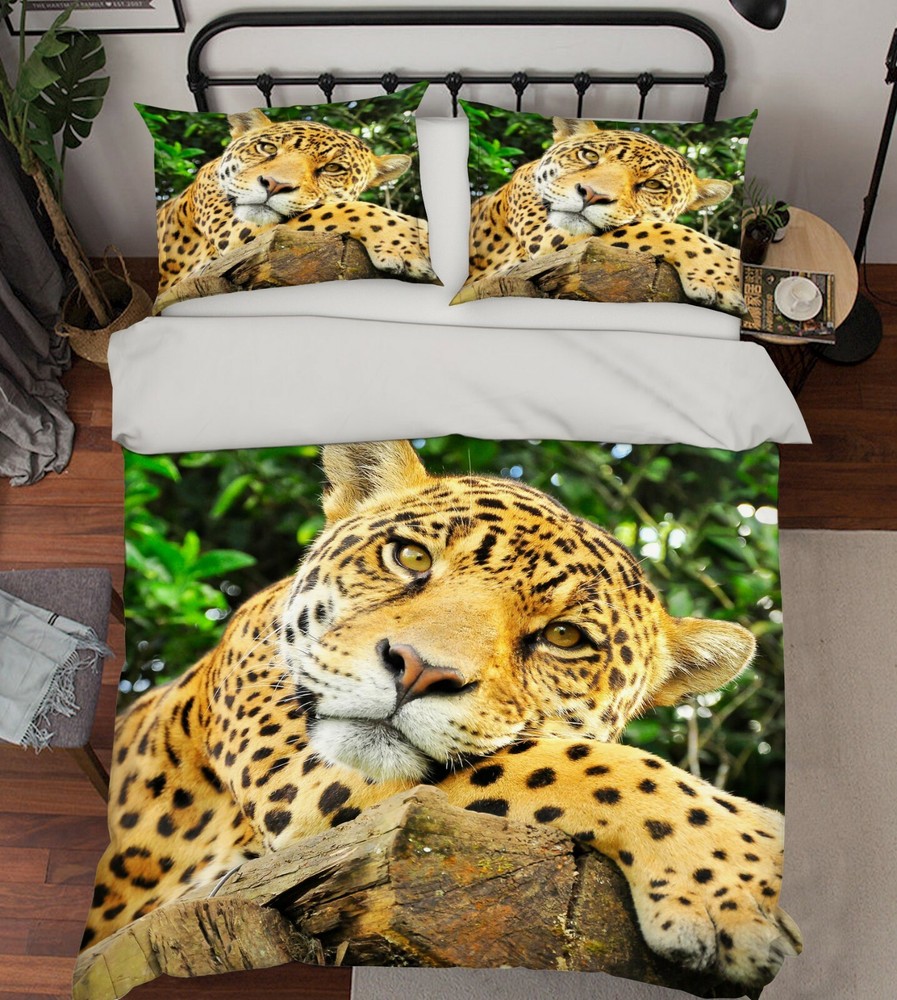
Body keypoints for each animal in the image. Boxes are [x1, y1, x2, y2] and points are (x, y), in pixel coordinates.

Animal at [84, 440, 800, 989]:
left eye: (564, 637)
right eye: (410, 557)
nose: (418, 670)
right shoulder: (301, 775)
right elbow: (572, 762)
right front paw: (745, 871)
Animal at [155, 108, 435, 298]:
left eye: (332, 168)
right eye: (267, 148)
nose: (274, 184)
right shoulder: (234, 230)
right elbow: (342, 210)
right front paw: (415, 242)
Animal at [460, 117, 746, 314]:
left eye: (652, 185)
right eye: (589, 155)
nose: (591, 195)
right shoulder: (549, 235)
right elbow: (658, 230)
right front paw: (725, 273)